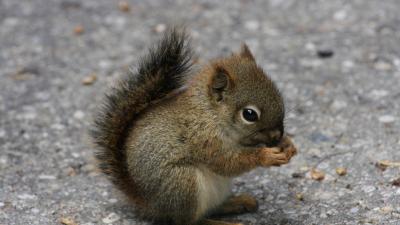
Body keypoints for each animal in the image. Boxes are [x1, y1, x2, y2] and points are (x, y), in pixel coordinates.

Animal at [91, 28, 296, 225]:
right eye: (249, 114)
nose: (278, 135)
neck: (210, 114)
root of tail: (149, 204)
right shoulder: (204, 139)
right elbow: (227, 162)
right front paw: (266, 156)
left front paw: (288, 145)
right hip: (183, 183)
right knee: (188, 221)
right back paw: (221, 222)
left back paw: (238, 203)